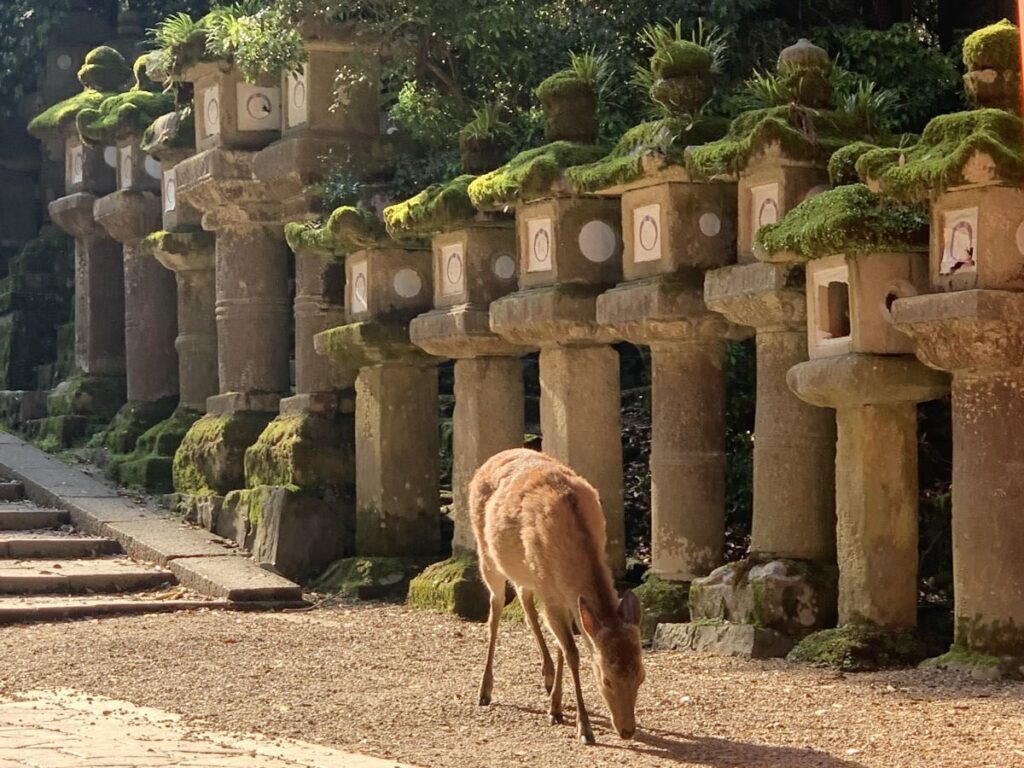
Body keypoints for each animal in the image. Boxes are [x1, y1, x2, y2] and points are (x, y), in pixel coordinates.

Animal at [469, 448, 645, 745]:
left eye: (642, 676)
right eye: (606, 679)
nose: (627, 731)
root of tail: (493, 457)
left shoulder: (561, 595)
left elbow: (563, 645)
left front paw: (556, 707)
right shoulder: (551, 593)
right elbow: (572, 652)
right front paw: (583, 728)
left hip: (526, 573)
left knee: (524, 600)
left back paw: (547, 678)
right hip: (487, 556)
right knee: (495, 610)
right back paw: (484, 690)